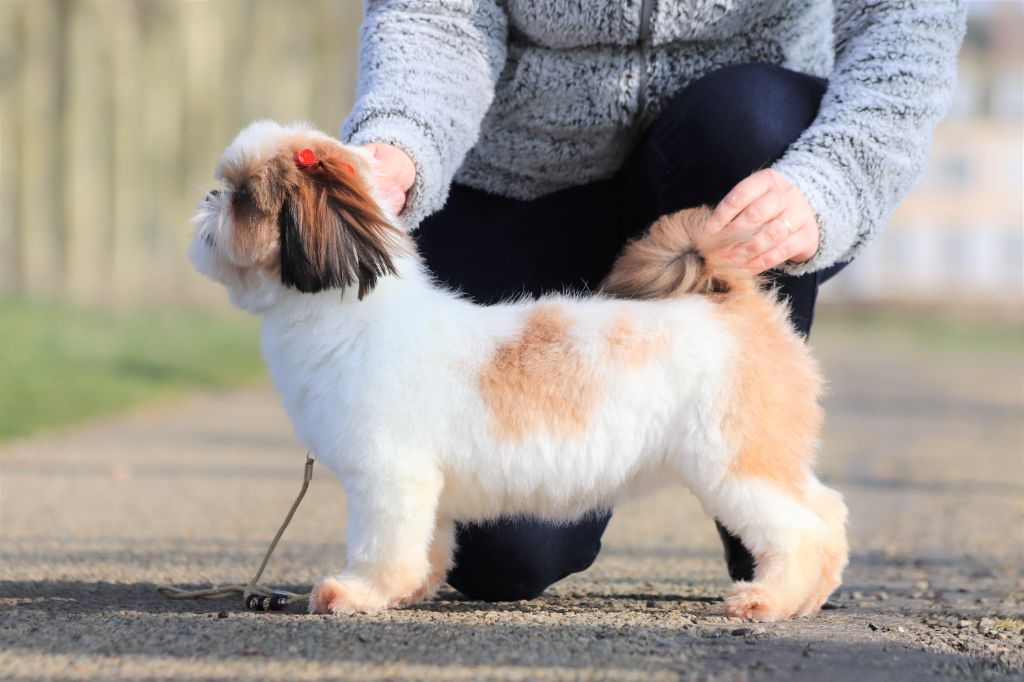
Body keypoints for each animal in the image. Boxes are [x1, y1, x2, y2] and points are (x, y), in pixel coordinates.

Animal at [190, 119, 847, 618]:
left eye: (243, 197)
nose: (208, 198)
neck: (350, 314)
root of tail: (735, 303)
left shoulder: (388, 477)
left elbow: (383, 547)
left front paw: (357, 592)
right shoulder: (425, 489)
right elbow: (425, 546)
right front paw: (411, 590)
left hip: (731, 465)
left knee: (798, 531)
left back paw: (766, 599)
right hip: (765, 457)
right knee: (828, 510)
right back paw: (812, 597)